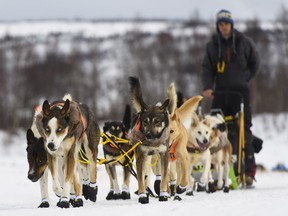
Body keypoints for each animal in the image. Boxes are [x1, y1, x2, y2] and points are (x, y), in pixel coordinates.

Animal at [128, 76, 171, 204]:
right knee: (144, 176)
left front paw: (163, 194)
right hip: (146, 158)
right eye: (145, 122)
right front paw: (142, 195)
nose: (148, 135)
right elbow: (141, 179)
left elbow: (164, 177)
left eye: (157, 122)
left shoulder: (164, 155)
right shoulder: (140, 157)